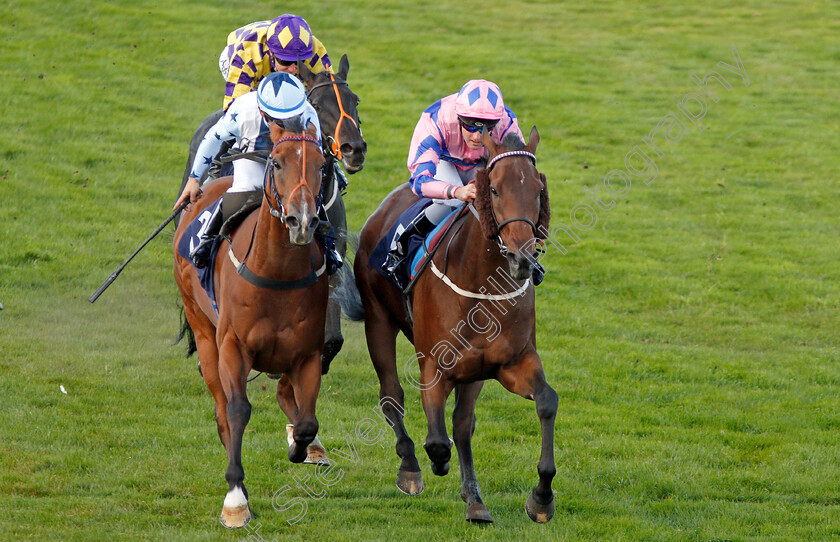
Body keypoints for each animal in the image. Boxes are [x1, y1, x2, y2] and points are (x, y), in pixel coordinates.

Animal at [172, 124, 326, 532]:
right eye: (277, 162)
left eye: (322, 164)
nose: (301, 220)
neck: (277, 273)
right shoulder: (232, 346)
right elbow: (238, 410)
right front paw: (236, 499)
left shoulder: (308, 353)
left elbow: (307, 422)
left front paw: (299, 448)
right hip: (204, 332)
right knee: (222, 410)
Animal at [342, 125, 556, 524]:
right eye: (494, 190)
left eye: (537, 190)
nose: (523, 259)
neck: (482, 285)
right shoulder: (434, 365)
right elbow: (438, 440)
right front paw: (434, 462)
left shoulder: (510, 362)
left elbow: (546, 402)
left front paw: (541, 497)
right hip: (378, 321)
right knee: (392, 396)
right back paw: (411, 466)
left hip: (473, 371)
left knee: (462, 423)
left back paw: (475, 501)